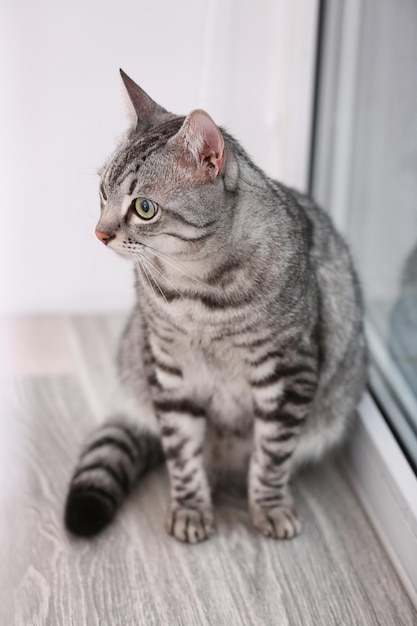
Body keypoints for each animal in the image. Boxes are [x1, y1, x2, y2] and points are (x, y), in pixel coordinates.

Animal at [63, 69, 366, 540]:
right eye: (102, 191)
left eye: (144, 208)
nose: (100, 233)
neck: (197, 292)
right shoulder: (169, 369)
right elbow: (182, 453)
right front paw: (190, 509)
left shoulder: (288, 369)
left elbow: (272, 455)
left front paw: (270, 508)